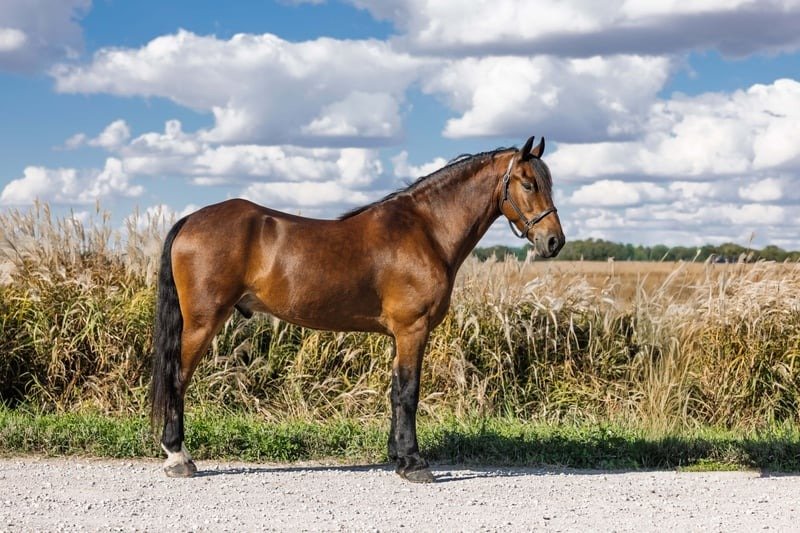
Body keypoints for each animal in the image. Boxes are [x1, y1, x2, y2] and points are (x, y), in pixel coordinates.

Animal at [150, 135, 565, 482]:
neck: (426, 230)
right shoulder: (412, 329)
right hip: (202, 322)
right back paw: (178, 458)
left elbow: (396, 391)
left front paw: (398, 456)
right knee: (177, 379)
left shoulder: (401, 334)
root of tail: (191, 219)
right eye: (528, 183)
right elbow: (409, 393)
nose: (554, 241)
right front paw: (414, 464)